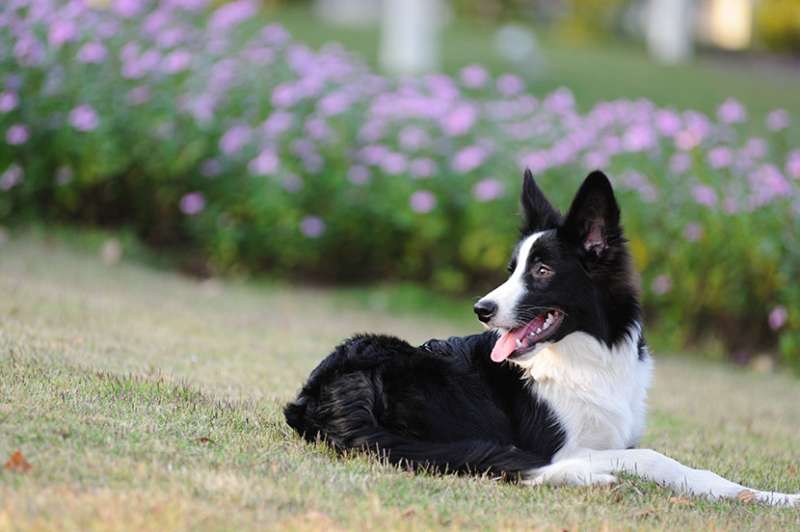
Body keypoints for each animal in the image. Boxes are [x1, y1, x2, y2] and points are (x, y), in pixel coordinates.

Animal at [288, 171, 800, 508]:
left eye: (542, 270)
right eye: (512, 268)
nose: (481, 310)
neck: (586, 358)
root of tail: (326, 390)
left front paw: (772, 496)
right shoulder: (562, 445)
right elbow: (657, 458)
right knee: (504, 466)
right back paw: (592, 479)